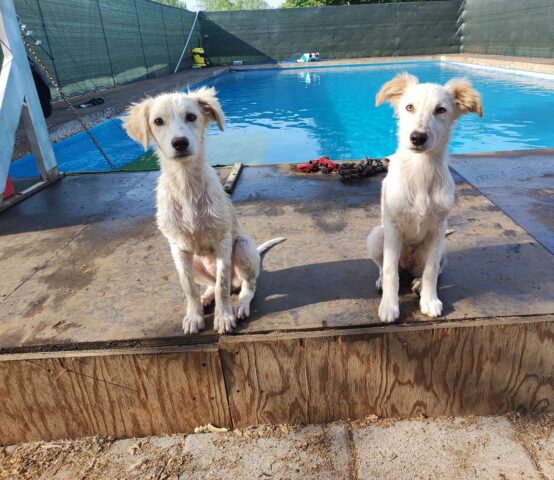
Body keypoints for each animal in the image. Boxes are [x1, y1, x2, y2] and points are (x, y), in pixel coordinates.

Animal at [122, 87, 282, 334]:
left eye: (191, 116)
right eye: (158, 121)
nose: (180, 143)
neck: (186, 182)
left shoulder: (223, 241)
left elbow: (222, 285)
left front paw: (223, 317)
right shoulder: (177, 248)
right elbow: (189, 287)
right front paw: (193, 315)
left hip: (243, 247)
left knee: (247, 285)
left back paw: (241, 304)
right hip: (195, 262)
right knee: (208, 284)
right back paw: (206, 297)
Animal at [368, 72, 480, 322]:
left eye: (441, 110)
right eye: (409, 107)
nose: (417, 137)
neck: (421, 168)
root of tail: (408, 265)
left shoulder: (437, 229)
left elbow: (431, 271)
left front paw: (429, 300)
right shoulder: (392, 227)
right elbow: (390, 271)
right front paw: (389, 305)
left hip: (442, 249)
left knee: (433, 270)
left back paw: (418, 283)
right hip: (376, 236)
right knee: (386, 267)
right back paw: (381, 281)